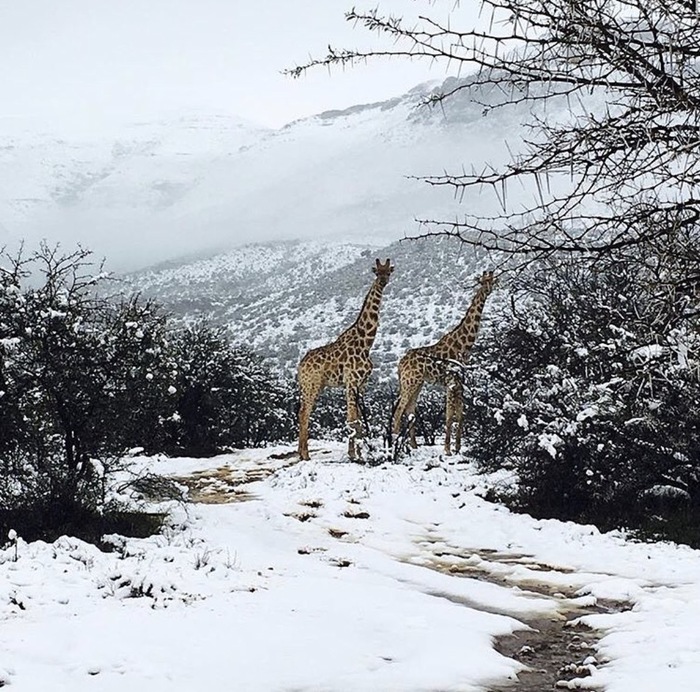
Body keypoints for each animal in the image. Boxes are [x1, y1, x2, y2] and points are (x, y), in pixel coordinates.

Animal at [296, 258, 394, 460]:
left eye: (389, 271)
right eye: (376, 272)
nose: (382, 282)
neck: (366, 343)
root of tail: (300, 366)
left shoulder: (362, 384)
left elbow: (359, 420)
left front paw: (361, 453)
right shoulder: (351, 381)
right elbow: (352, 419)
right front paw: (353, 454)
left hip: (312, 386)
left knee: (302, 412)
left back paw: (301, 453)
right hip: (312, 385)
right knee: (304, 413)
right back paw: (305, 455)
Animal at [392, 268, 494, 454]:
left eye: (492, 279)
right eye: (483, 281)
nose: (488, 289)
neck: (464, 345)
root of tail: (400, 364)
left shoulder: (460, 382)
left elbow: (460, 415)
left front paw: (458, 447)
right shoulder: (450, 381)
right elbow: (449, 415)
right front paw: (447, 449)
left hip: (417, 383)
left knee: (410, 411)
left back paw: (414, 446)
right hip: (410, 382)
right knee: (399, 410)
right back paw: (395, 445)